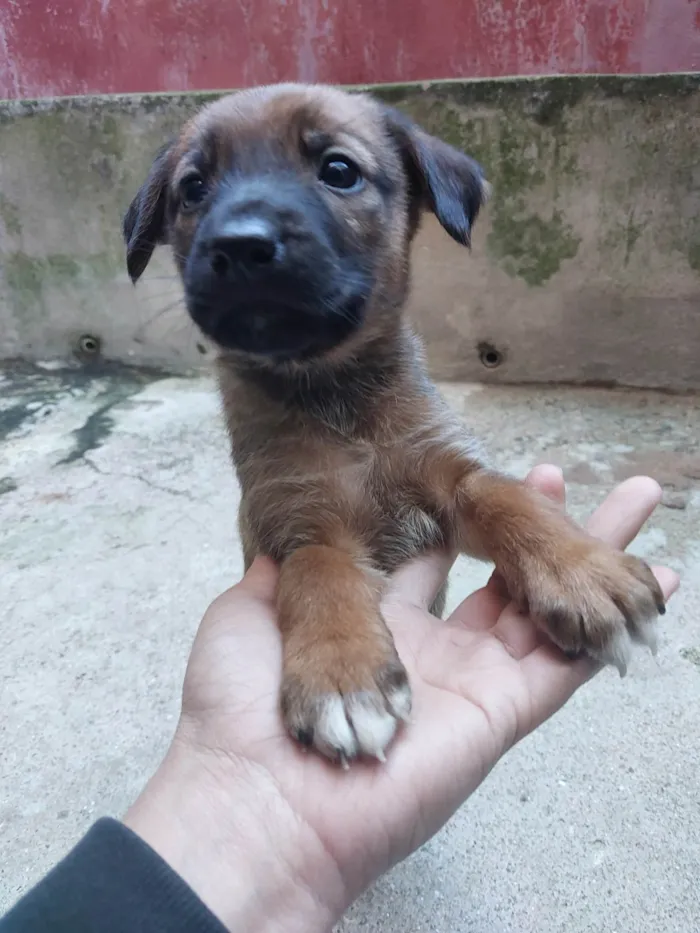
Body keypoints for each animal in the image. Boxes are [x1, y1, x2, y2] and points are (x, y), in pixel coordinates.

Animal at [123, 82, 664, 764]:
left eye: (338, 170)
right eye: (193, 187)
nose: (240, 245)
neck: (335, 396)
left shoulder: (446, 471)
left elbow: (507, 497)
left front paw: (583, 571)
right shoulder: (299, 525)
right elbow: (319, 574)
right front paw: (343, 676)